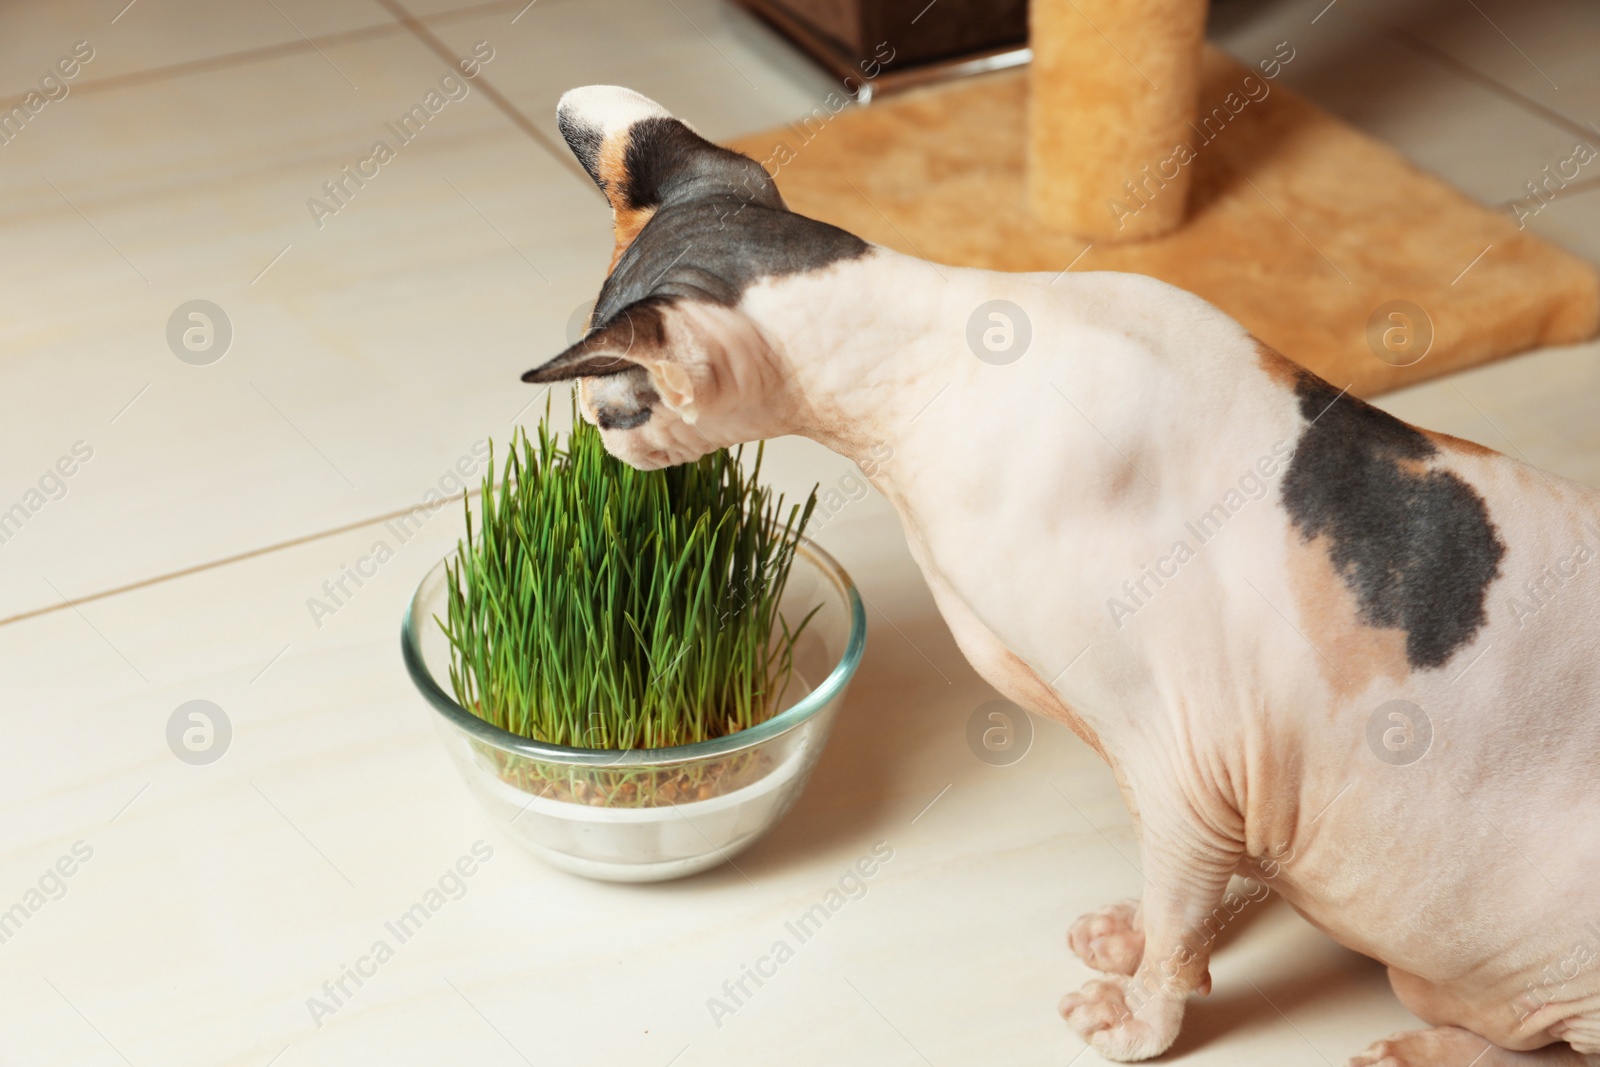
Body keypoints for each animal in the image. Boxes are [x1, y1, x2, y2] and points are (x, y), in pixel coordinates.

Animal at [521, 85, 1600, 1067]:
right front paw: (1152, 934)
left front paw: (1143, 1017)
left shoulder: (1188, 758)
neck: (929, 360)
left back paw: (1415, 1048)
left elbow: (1182, 905)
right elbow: (1196, 882)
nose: (596, 444)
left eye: (615, 409)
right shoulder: (1211, 773)